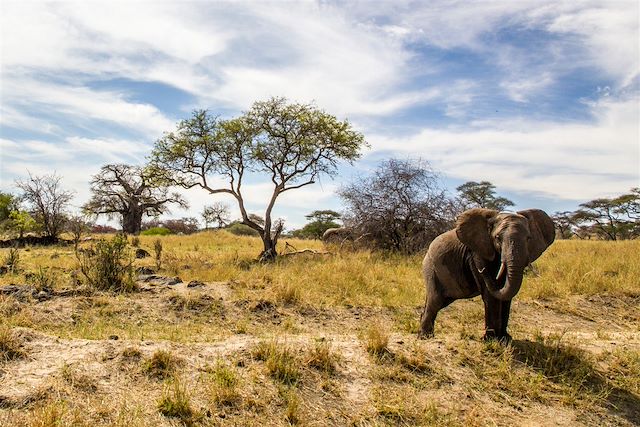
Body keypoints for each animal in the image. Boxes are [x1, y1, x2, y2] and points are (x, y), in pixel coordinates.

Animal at [419, 208, 555, 342]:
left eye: (528, 238)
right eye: (498, 238)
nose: (482, 270)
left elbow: (506, 295)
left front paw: (505, 339)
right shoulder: (478, 253)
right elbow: (490, 295)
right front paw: (491, 340)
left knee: (440, 301)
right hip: (431, 268)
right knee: (435, 300)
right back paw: (425, 337)